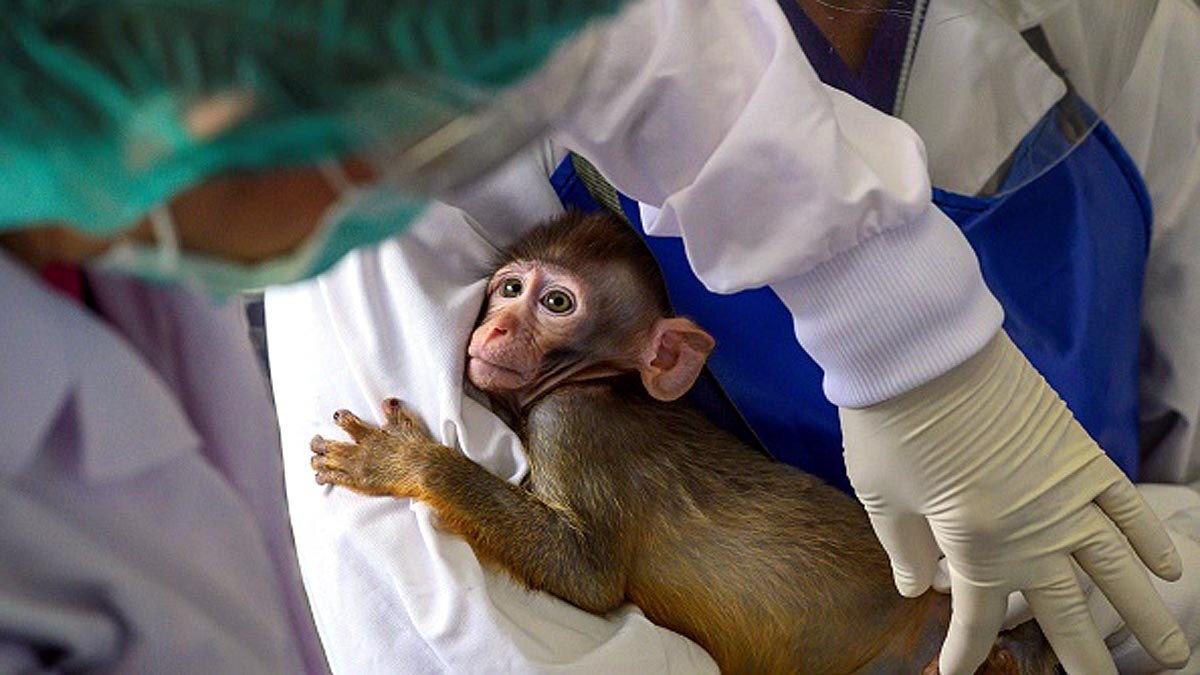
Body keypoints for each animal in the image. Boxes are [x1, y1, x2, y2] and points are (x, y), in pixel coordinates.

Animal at [309, 211, 1057, 674]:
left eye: (556, 303)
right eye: (510, 287)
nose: (494, 328)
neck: (606, 383)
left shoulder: (571, 424)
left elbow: (586, 574)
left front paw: (405, 461)